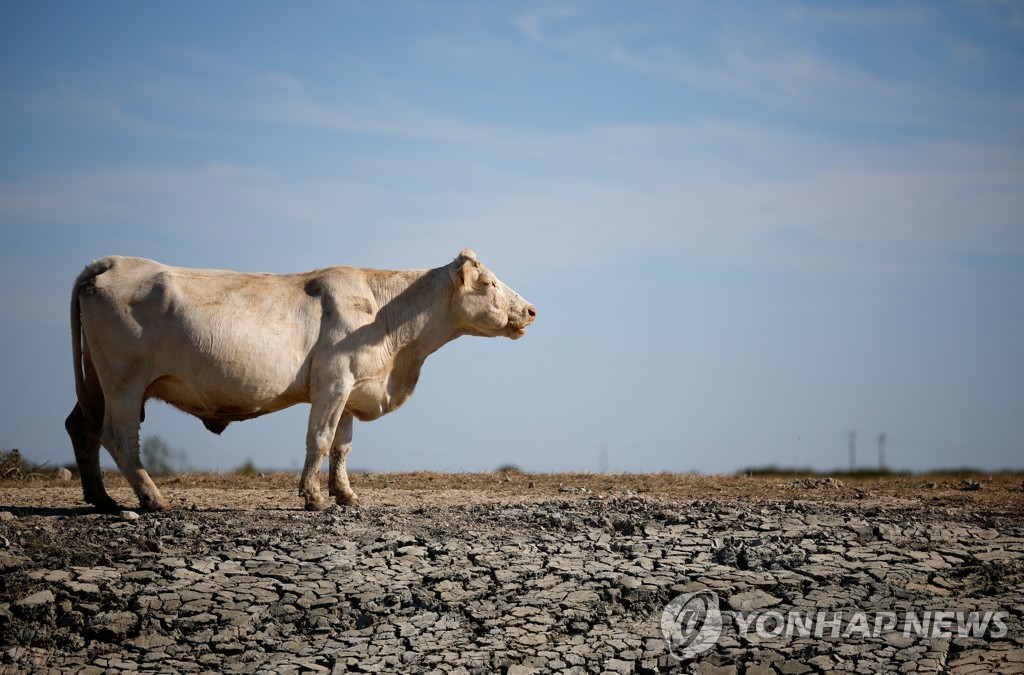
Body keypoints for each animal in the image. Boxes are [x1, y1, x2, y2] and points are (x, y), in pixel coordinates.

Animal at [64, 249, 536, 512]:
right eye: (490, 282)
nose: (531, 310)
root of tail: (110, 262)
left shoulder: (352, 388)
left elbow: (343, 447)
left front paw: (345, 495)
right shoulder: (333, 381)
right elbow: (321, 439)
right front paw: (313, 497)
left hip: (96, 381)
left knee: (80, 427)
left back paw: (102, 499)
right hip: (123, 381)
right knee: (119, 438)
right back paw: (153, 500)